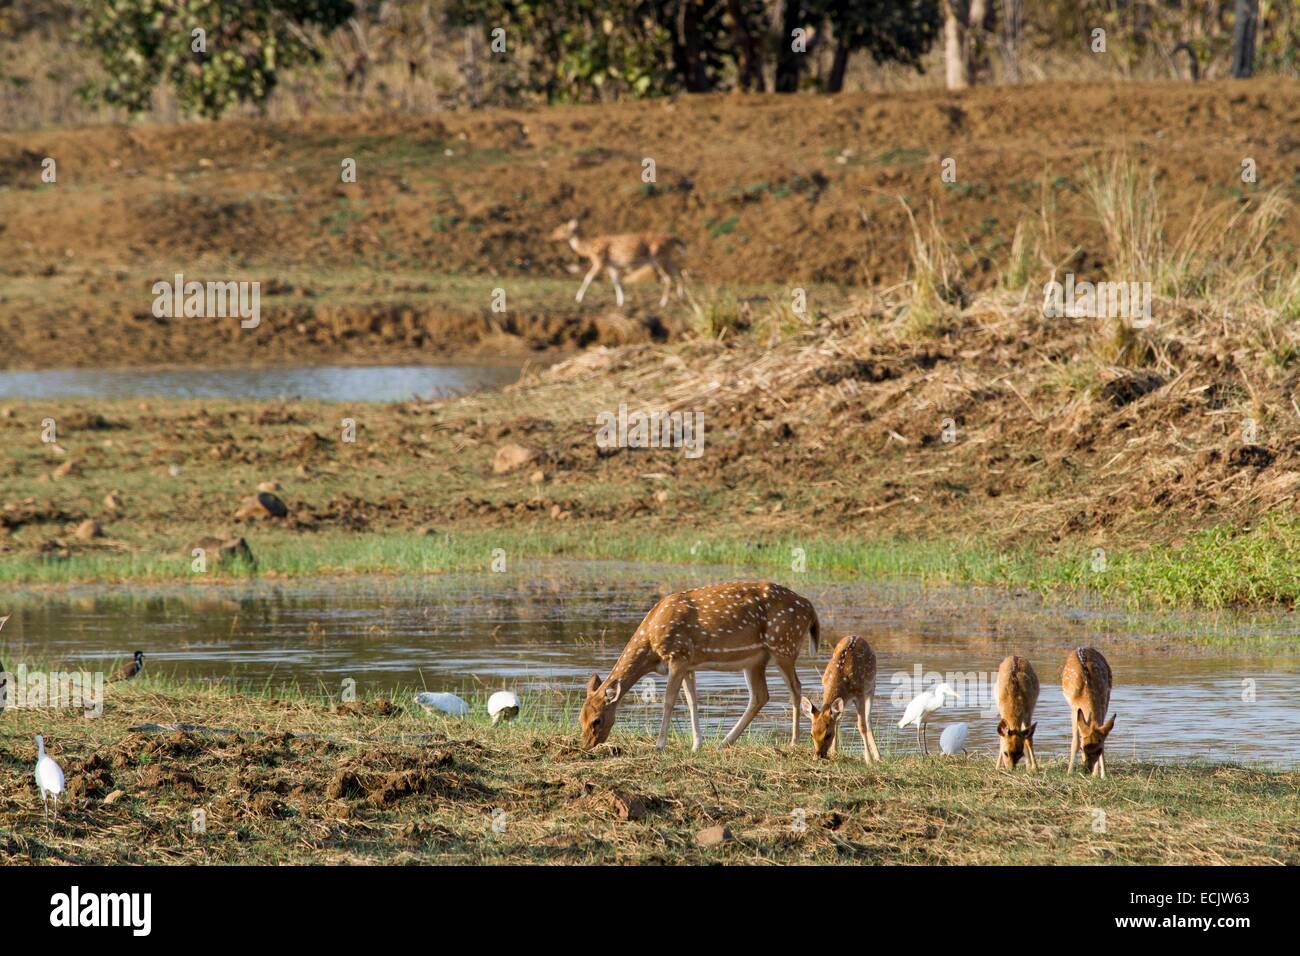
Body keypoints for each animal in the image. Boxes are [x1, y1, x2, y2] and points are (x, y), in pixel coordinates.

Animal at [551, 219, 691, 306]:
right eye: (557, 228)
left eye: (563, 229)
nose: (552, 237)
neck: (589, 248)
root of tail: (672, 239)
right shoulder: (612, 266)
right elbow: (616, 281)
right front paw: (620, 301)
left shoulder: (600, 261)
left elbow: (588, 277)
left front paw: (578, 298)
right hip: (666, 258)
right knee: (678, 271)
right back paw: (681, 296)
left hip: (657, 259)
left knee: (668, 278)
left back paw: (663, 303)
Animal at [577, 580, 816, 749]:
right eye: (580, 717)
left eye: (597, 720)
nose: (587, 744)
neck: (651, 644)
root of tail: (810, 608)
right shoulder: (689, 663)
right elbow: (693, 701)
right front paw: (696, 745)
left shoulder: (678, 655)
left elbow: (668, 700)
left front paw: (659, 745)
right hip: (756, 660)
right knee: (760, 695)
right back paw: (724, 742)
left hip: (784, 644)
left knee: (796, 688)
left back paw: (793, 743)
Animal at [795, 634, 878, 764]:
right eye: (811, 734)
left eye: (828, 735)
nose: (818, 756)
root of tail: (856, 636)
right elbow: (836, 721)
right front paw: (834, 754)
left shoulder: (860, 693)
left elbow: (862, 726)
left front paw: (869, 760)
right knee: (838, 719)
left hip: (871, 687)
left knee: (868, 721)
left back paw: (878, 757)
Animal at [1060, 650, 1112, 780]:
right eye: (1083, 748)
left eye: (1099, 749)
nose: (1088, 769)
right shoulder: (1074, 707)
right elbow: (1075, 741)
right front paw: (1069, 772)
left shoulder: (1104, 702)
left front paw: (1102, 774)